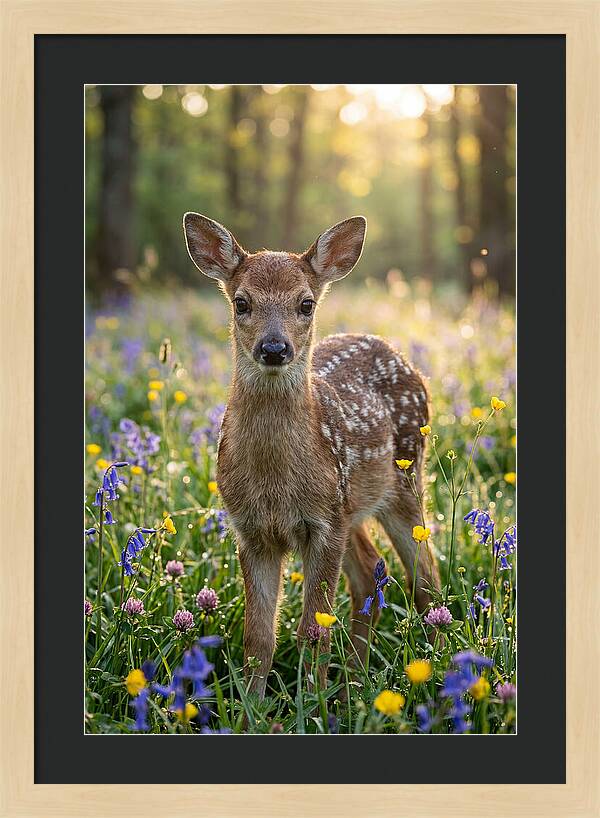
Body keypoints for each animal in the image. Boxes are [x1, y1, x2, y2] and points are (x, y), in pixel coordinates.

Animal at [183, 213, 440, 699]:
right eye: (241, 303)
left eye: (305, 304)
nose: (274, 348)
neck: (274, 482)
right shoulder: (251, 529)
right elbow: (258, 635)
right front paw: (252, 706)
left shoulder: (322, 524)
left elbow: (313, 630)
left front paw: (311, 703)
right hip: (351, 507)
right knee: (369, 574)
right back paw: (355, 683)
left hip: (402, 481)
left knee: (426, 580)